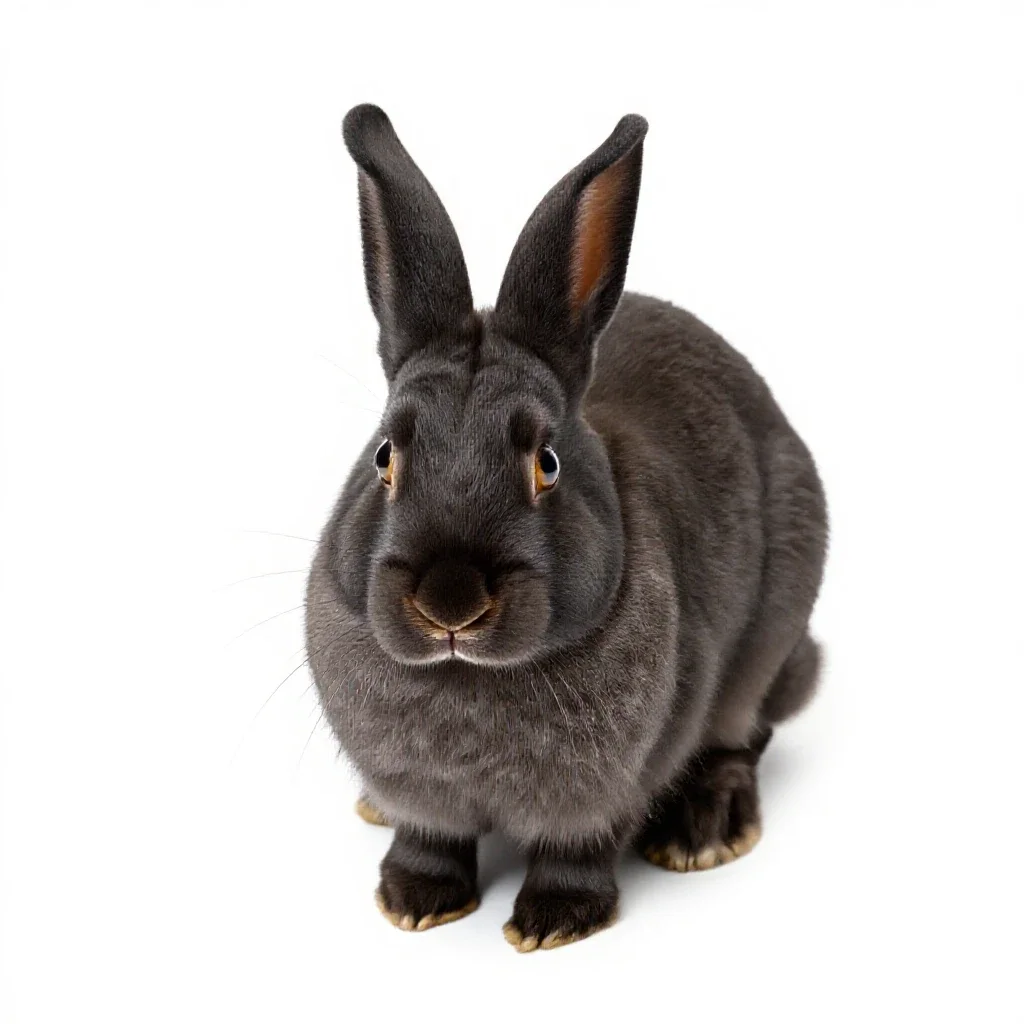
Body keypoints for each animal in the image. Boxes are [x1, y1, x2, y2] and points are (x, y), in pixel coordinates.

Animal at [305, 104, 828, 952]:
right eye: (385, 455)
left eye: (545, 462)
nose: (450, 603)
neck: (469, 680)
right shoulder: (425, 795)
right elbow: (429, 835)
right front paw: (414, 898)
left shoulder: (609, 786)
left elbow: (579, 848)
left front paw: (554, 919)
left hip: (771, 629)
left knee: (743, 735)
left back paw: (704, 832)